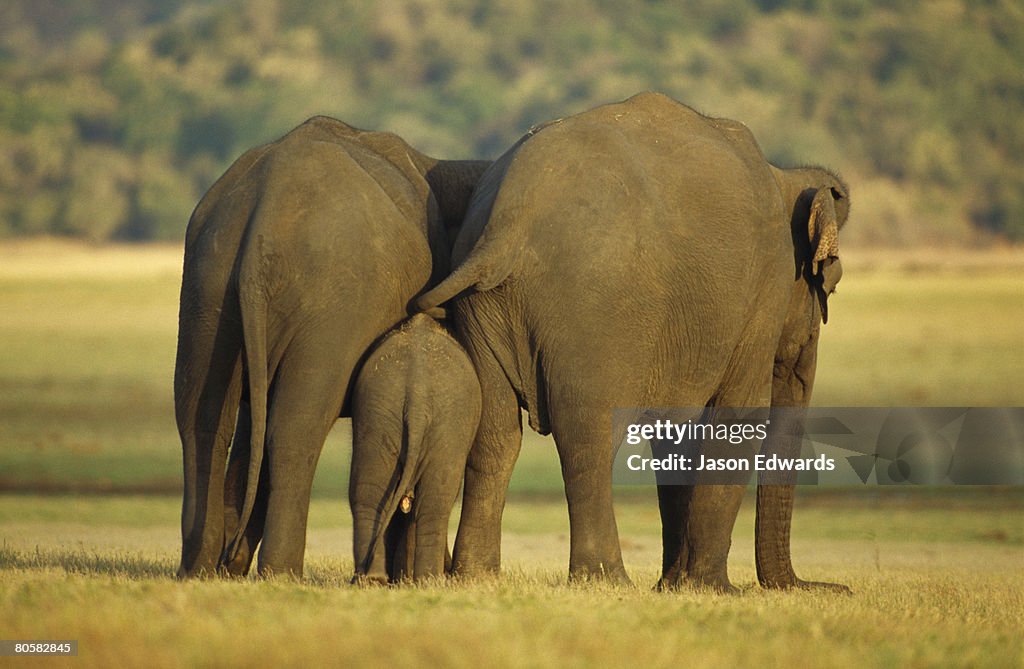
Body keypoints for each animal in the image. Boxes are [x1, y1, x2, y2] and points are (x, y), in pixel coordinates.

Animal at [350, 311, 481, 581]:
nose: (450, 568)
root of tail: (417, 397)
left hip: (378, 413)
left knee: (369, 491)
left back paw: (373, 580)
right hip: (444, 425)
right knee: (435, 504)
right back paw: (428, 581)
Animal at [415, 90, 847, 590]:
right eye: (829, 288)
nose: (834, 587)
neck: (783, 175)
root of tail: (508, 221)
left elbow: (677, 430)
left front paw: (674, 586)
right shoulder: (762, 292)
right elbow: (740, 414)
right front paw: (713, 589)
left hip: (483, 306)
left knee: (497, 433)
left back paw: (476, 577)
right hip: (594, 312)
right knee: (590, 436)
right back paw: (606, 578)